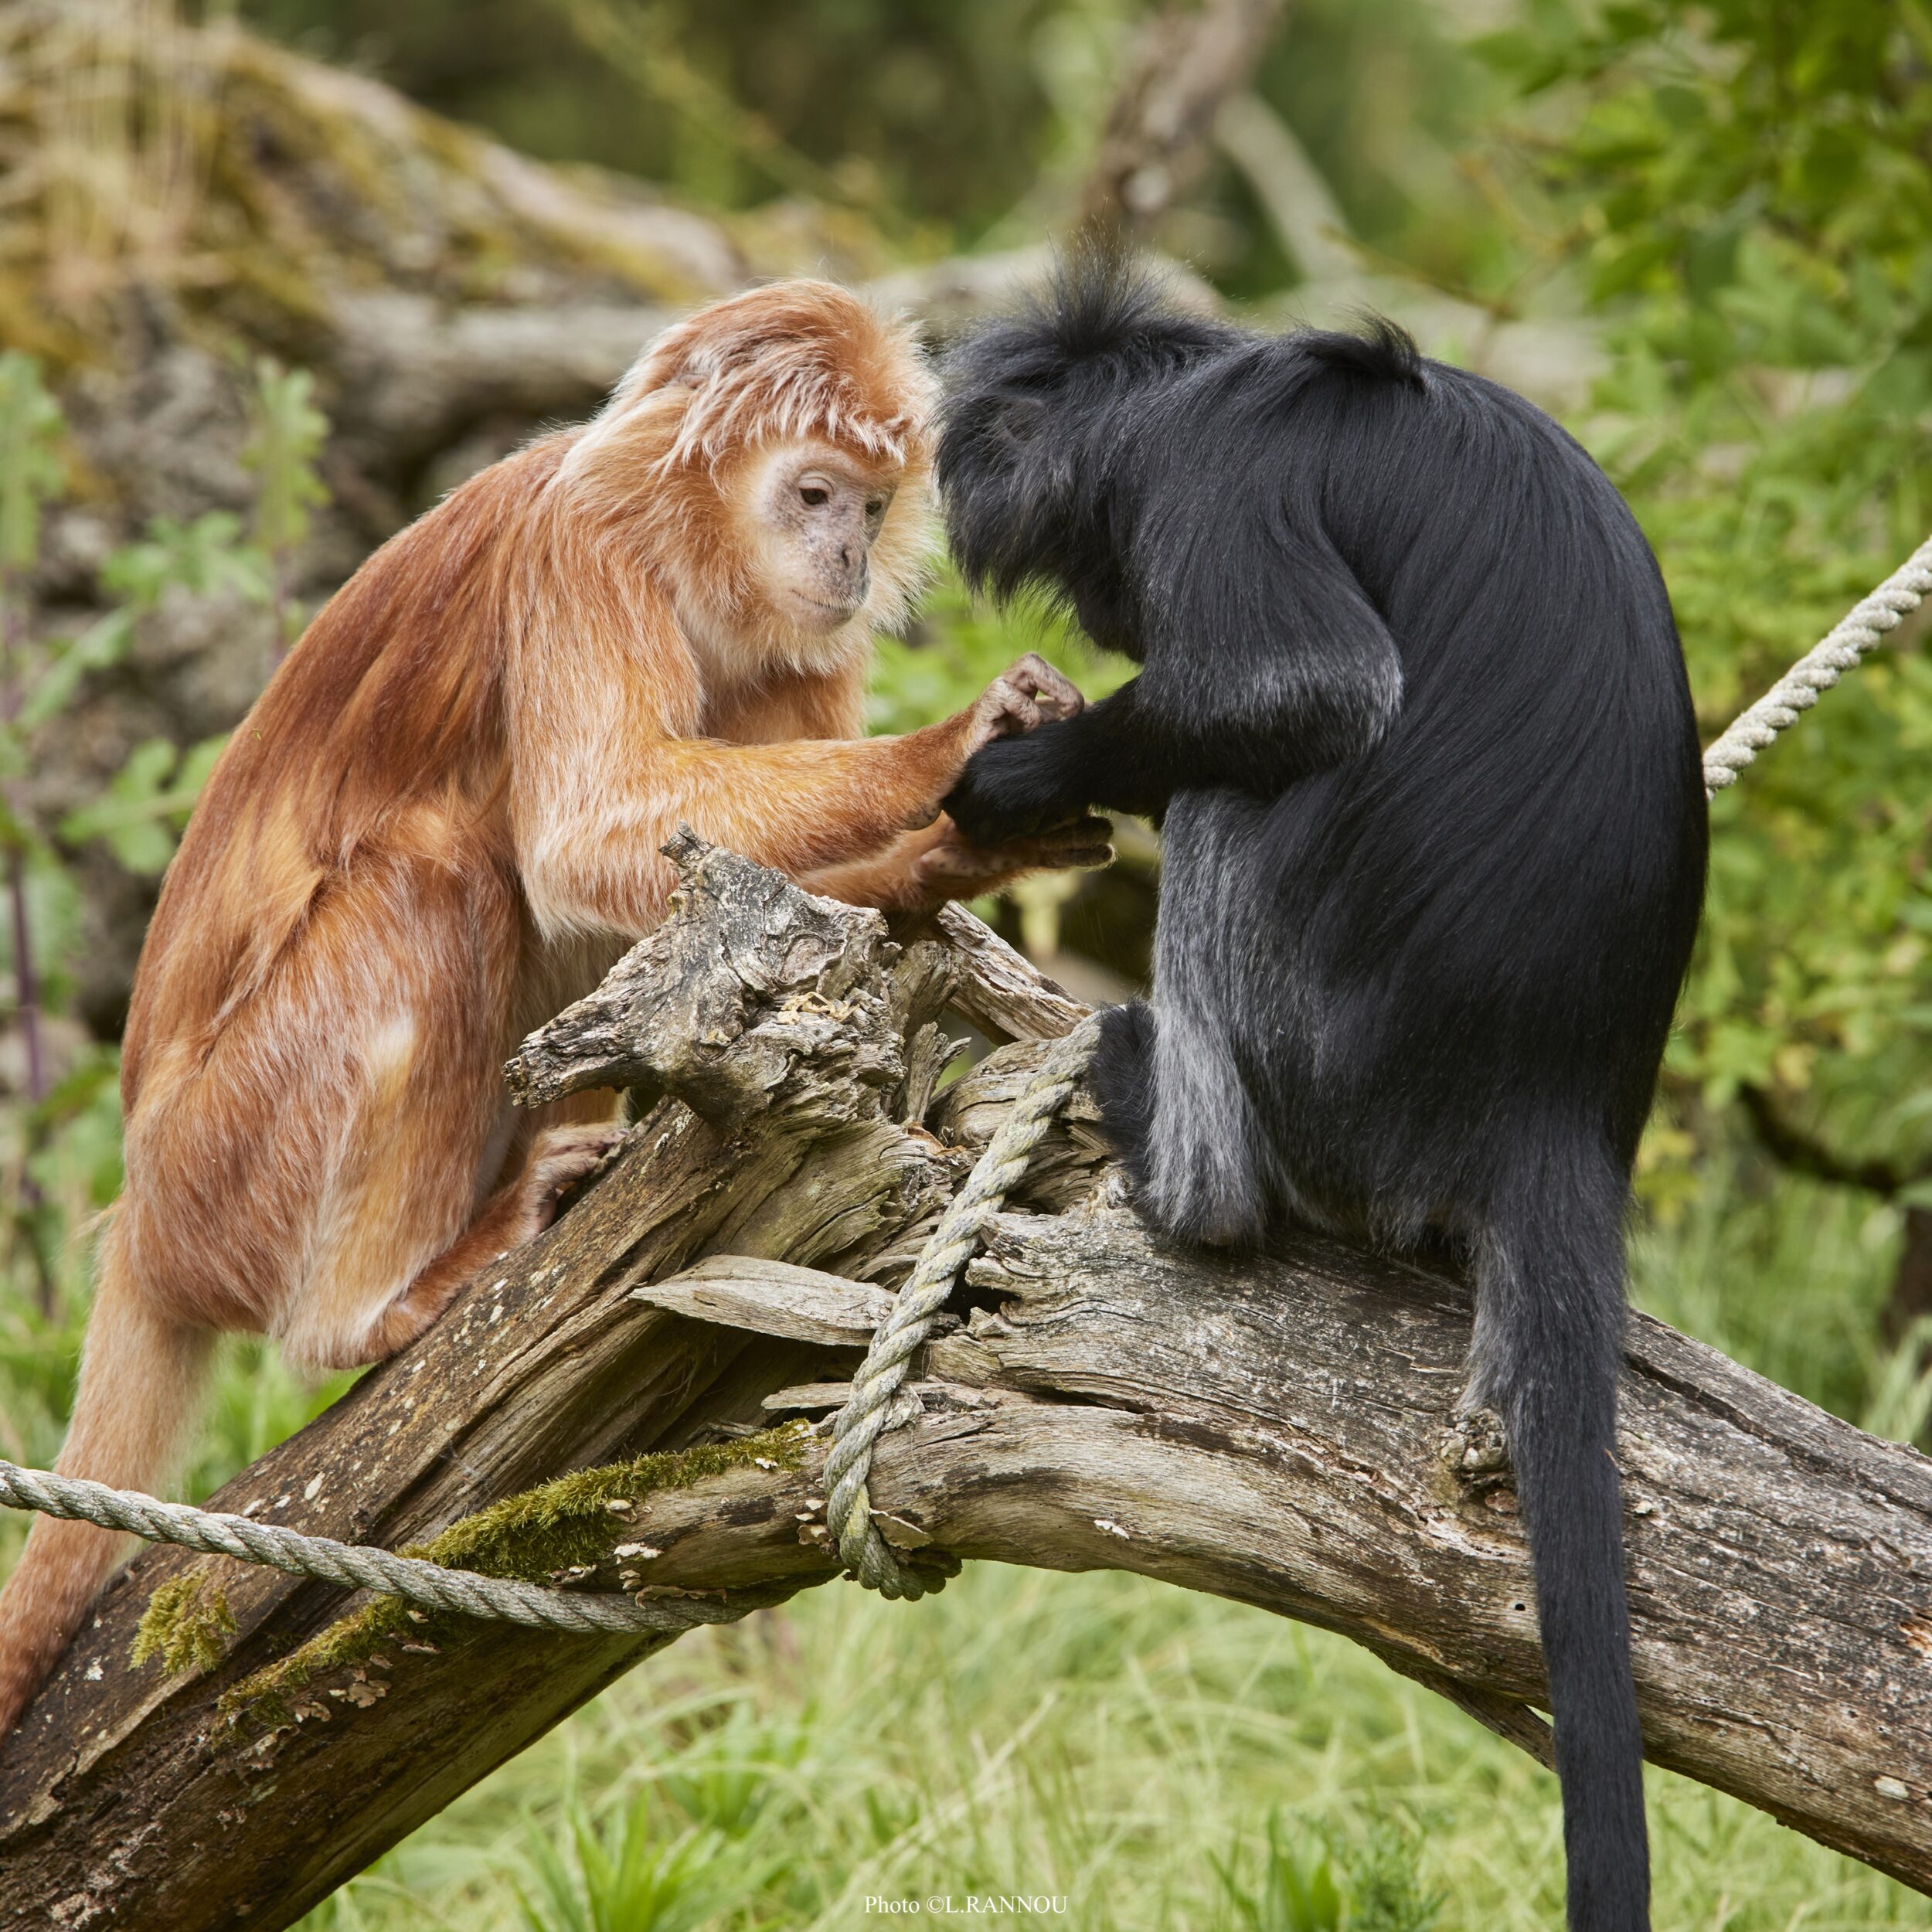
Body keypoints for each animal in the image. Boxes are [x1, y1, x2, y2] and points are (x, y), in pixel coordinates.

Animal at [0, 276, 1113, 1739]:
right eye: (815, 494)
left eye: (871, 508)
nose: (850, 556)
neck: (677, 540)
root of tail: (137, 1220)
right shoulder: (574, 552)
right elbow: (581, 839)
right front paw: (957, 747)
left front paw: (949, 860)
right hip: (224, 1171)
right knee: (440, 871)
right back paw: (374, 1309)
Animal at [935, 245, 1708, 1932]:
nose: (1102, 615)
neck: (1204, 381)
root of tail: (1553, 1103)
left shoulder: (1213, 479)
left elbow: (1296, 695)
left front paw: (1015, 777)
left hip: (1335, 1054)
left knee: (1242, 784)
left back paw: (1188, 1173)